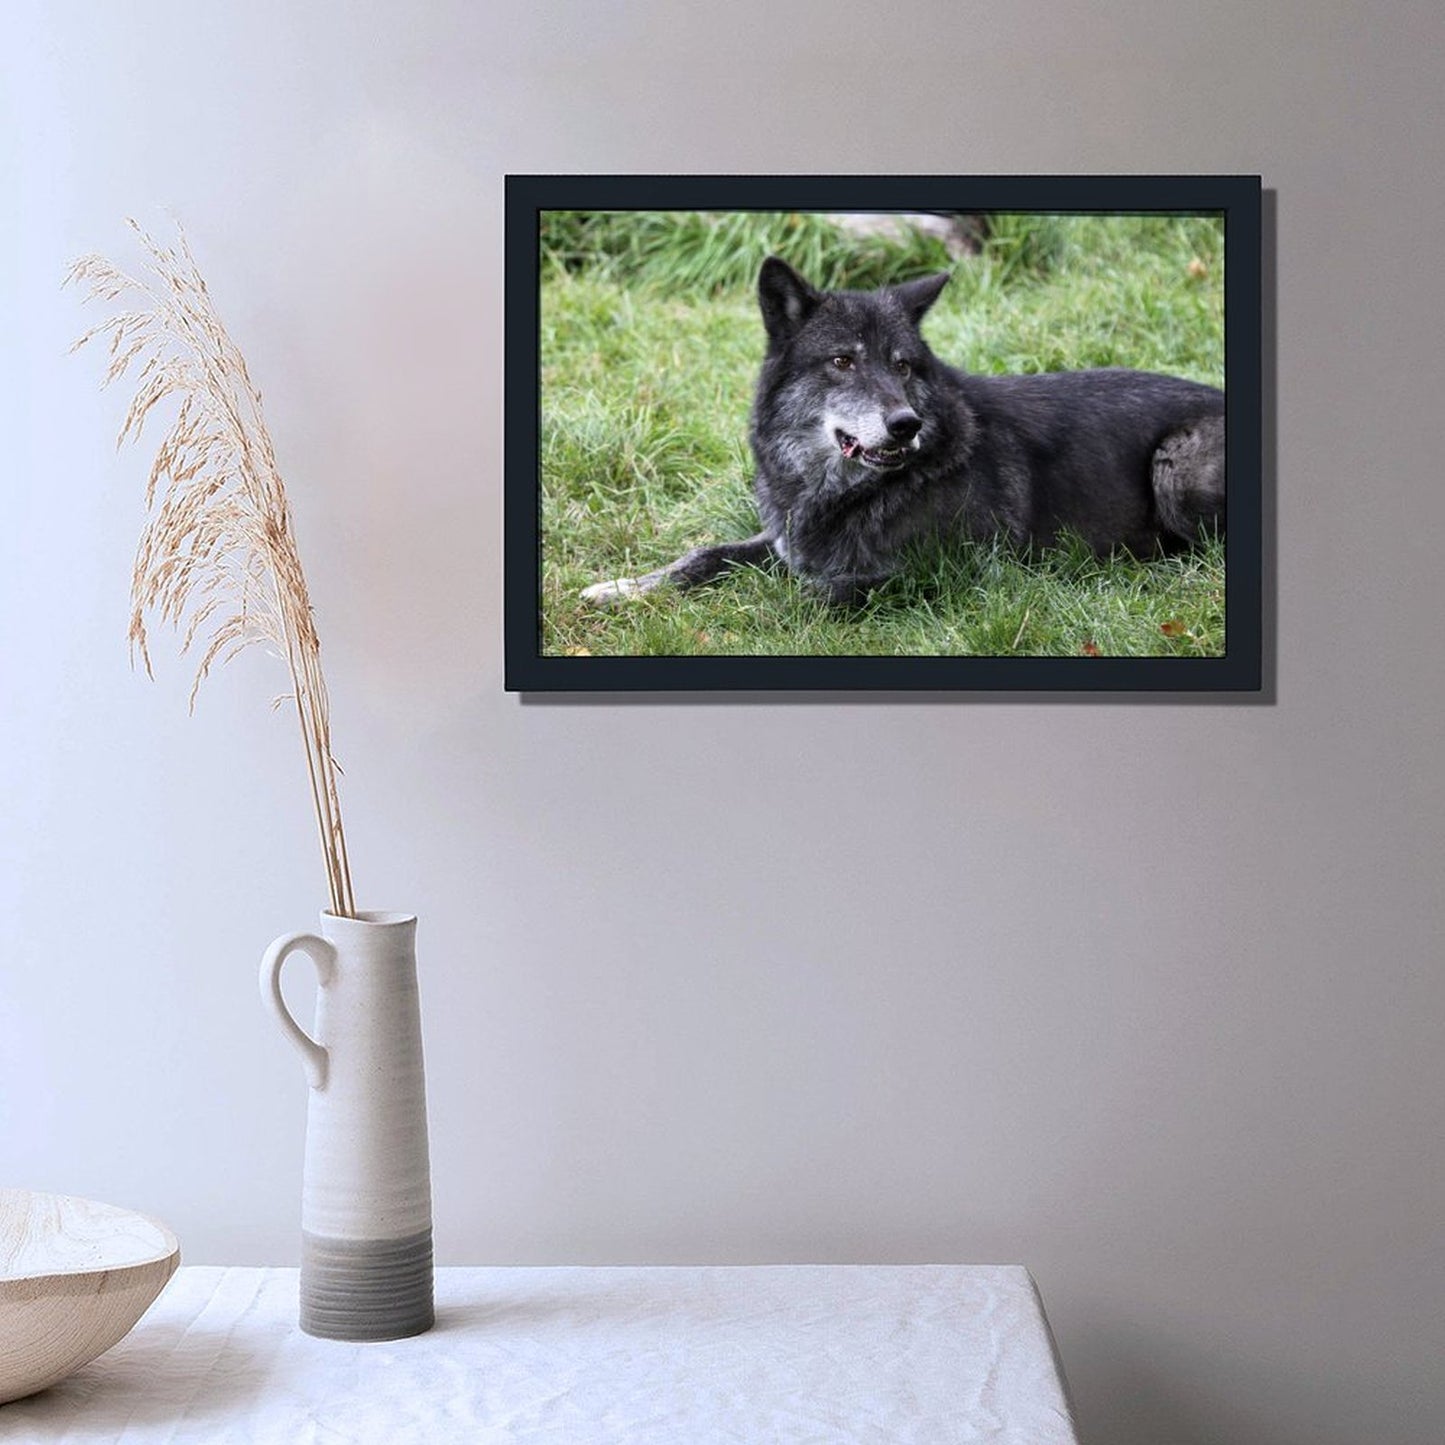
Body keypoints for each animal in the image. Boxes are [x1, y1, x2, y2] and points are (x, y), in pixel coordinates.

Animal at [581, 256, 1225, 608]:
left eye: (903, 366)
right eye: (843, 361)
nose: (905, 423)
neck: (841, 493)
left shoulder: (954, 575)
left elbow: (807, 592)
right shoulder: (785, 542)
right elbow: (703, 555)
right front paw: (623, 588)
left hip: (1174, 463)